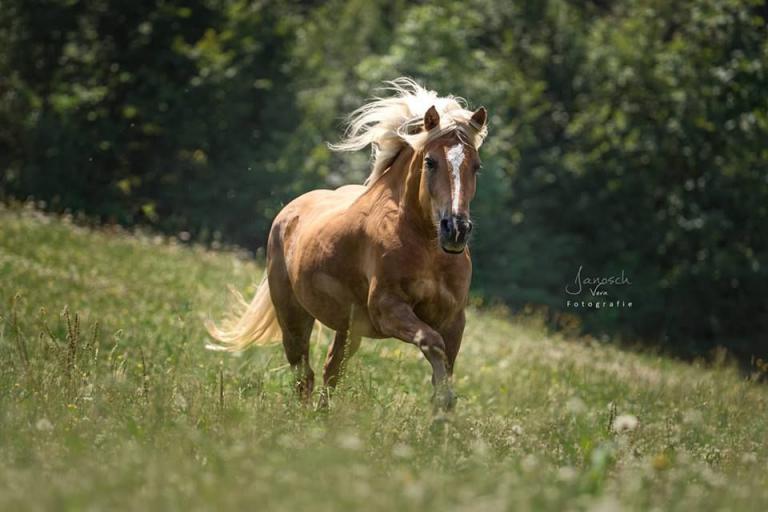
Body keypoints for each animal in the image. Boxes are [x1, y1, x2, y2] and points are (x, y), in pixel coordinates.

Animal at [206, 78, 488, 410]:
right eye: (430, 162)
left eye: (476, 166)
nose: (455, 230)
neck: (427, 248)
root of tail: (289, 212)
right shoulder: (387, 309)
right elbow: (432, 343)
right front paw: (443, 403)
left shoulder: (454, 320)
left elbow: (442, 362)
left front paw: (441, 413)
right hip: (293, 316)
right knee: (304, 374)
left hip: (348, 327)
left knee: (331, 370)